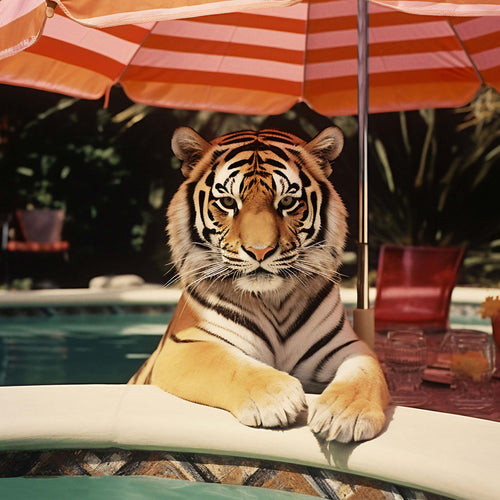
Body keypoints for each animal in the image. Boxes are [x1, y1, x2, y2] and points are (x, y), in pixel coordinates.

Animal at [130, 127, 390, 444]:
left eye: (287, 202)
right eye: (228, 203)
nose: (260, 251)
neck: (273, 299)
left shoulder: (348, 347)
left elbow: (363, 373)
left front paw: (345, 414)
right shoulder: (185, 347)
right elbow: (228, 365)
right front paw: (277, 398)